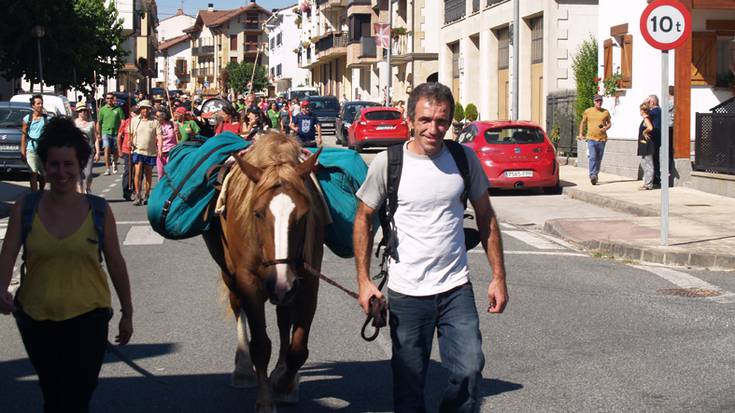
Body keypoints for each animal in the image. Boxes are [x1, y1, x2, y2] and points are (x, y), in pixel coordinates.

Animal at [203, 133, 326, 412]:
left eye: (303, 215)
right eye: (257, 213)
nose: (281, 283)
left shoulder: (308, 282)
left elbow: (298, 348)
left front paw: (284, 384)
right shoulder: (248, 281)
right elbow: (260, 345)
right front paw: (266, 400)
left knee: (283, 319)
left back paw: (280, 371)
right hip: (231, 273)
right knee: (238, 307)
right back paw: (243, 369)